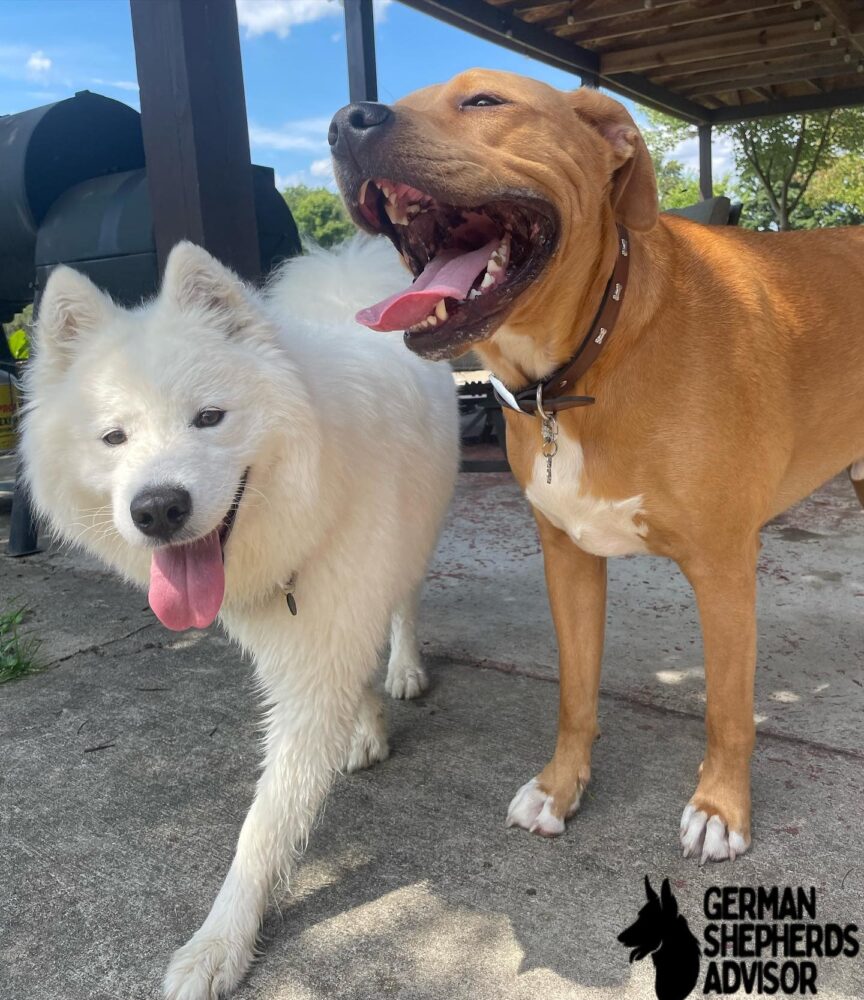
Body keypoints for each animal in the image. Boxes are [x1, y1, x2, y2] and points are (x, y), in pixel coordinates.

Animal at [20, 238, 460, 996]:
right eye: (114, 437)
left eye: (209, 417)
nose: (158, 509)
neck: (314, 496)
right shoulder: (309, 638)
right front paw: (364, 730)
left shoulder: (321, 653)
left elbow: (262, 827)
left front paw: (219, 944)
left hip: (417, 541)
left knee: (403, 604)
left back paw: (405, 669)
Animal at [330, 70, 864, 864]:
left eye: (483, 101)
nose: (344, 122)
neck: (589, 356)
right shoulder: (569, 556)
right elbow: (575, 693)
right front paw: (561, 787)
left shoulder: (725, 567)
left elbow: (727, 709)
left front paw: (721, 807)